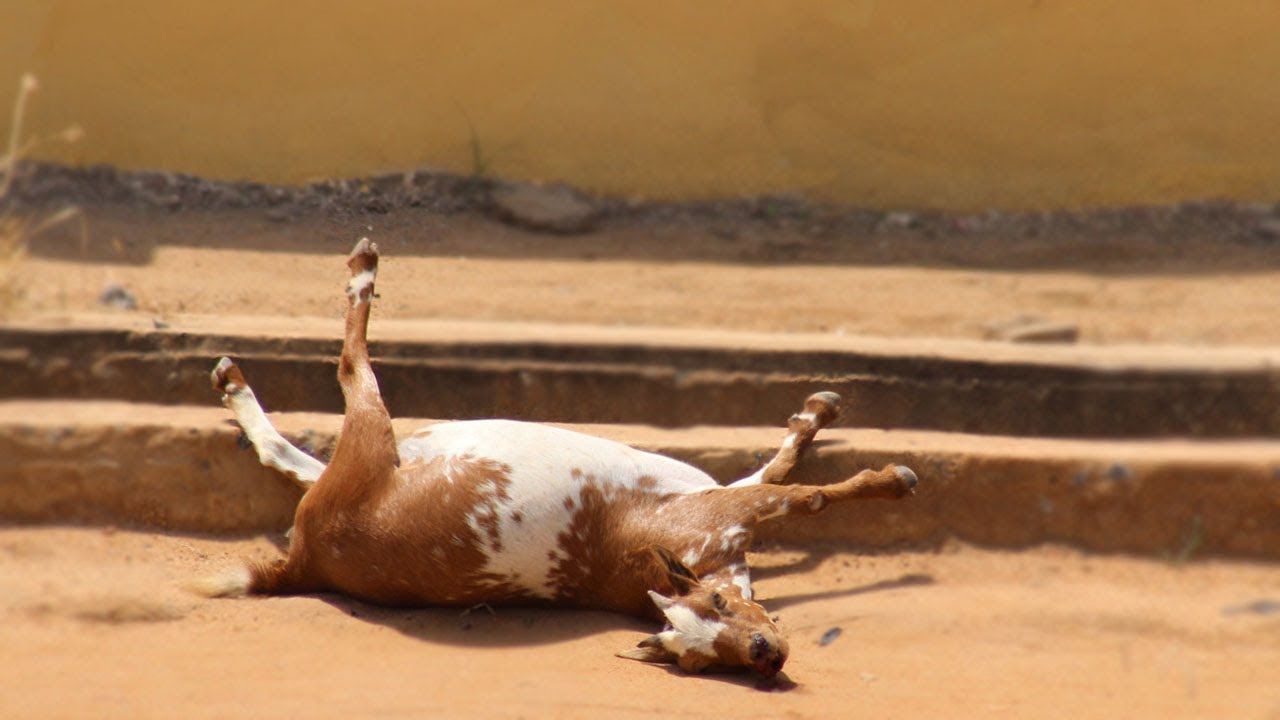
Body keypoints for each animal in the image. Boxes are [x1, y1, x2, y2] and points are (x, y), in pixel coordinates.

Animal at [194, 238, 918, 678]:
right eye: (700, 656)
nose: (765, 654)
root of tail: (301, 564)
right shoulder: (715, 512)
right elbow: (803, 493)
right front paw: (889, 479)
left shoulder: (704, 493)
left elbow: (778, 465)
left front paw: (816, 415)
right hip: (371, 442)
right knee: (350, 366)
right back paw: (362, 271)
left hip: (371, 459)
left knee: (287, 456)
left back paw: (235, 386)